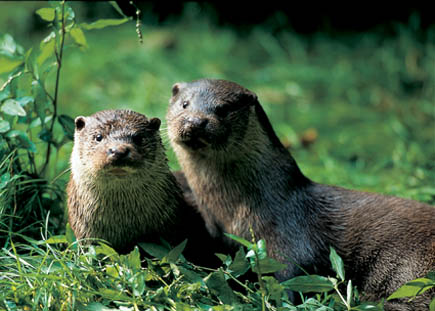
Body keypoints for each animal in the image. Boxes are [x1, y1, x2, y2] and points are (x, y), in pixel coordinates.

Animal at [166, 79, 435, 310]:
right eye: (185, 104)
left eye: (222, 109)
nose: (195, 121)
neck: (235, 211)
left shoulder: (291, 241)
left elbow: (291, 278)